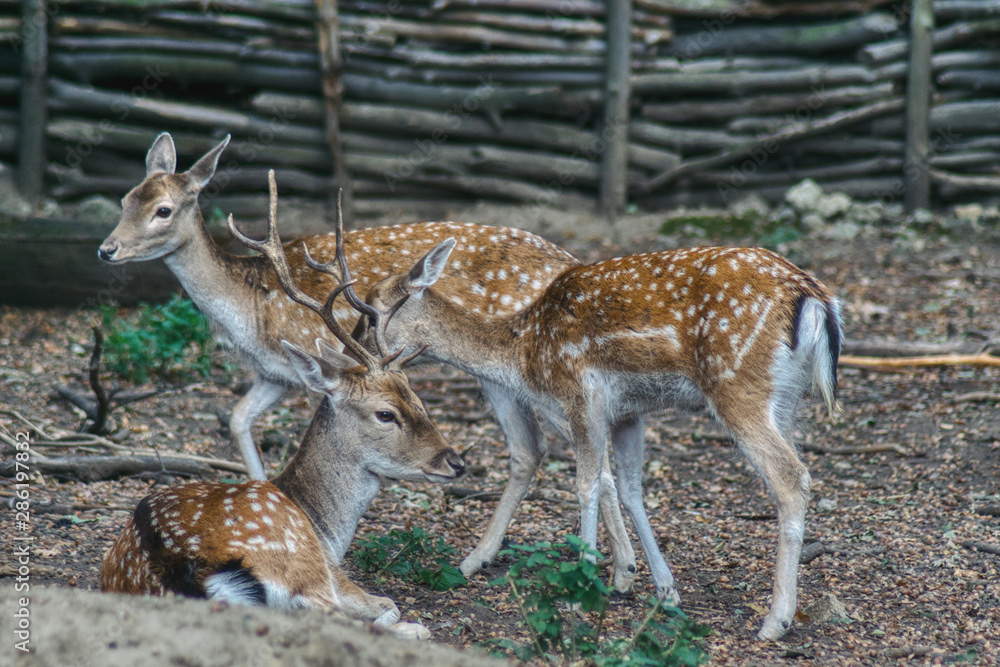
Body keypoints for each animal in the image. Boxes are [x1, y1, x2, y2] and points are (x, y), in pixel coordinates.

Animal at [95, 133, 640, 592]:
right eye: (124, 200)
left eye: (163, 210)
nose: (106, 249)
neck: (250, 308)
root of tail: (568, 261)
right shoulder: (275, 374)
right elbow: (237, 418)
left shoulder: (313, 363)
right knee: (541, 448)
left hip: (526, 371)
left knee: (573, 449)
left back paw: (618, 572)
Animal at [97, 175, 464, 640]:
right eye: (386, 413)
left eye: (416, 398)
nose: (455, 462)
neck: (325, 527)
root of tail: (179, 569)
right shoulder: (335, 573)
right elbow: (387, 604)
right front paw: (402, 620)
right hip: (298, 561)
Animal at [356, 240, 840, 640]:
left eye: (372, 310)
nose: (356, 357)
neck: (526, 351)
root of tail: (816, 300)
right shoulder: (628, 413)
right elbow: (628, 487)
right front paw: (663, 590)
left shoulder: (579, 394)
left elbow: (586, 484)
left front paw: (581, 587)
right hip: (786, 400)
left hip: (737, 384)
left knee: (792, 478)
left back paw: (775, 621)